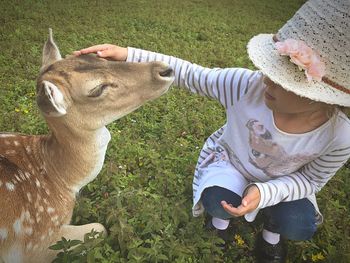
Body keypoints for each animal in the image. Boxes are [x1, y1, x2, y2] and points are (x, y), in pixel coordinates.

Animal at [0, 29, 175, 263]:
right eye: (96, 89)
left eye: (98, 55)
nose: (165, 69)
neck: (61, 181)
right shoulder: (37, 243)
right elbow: (100, 228)